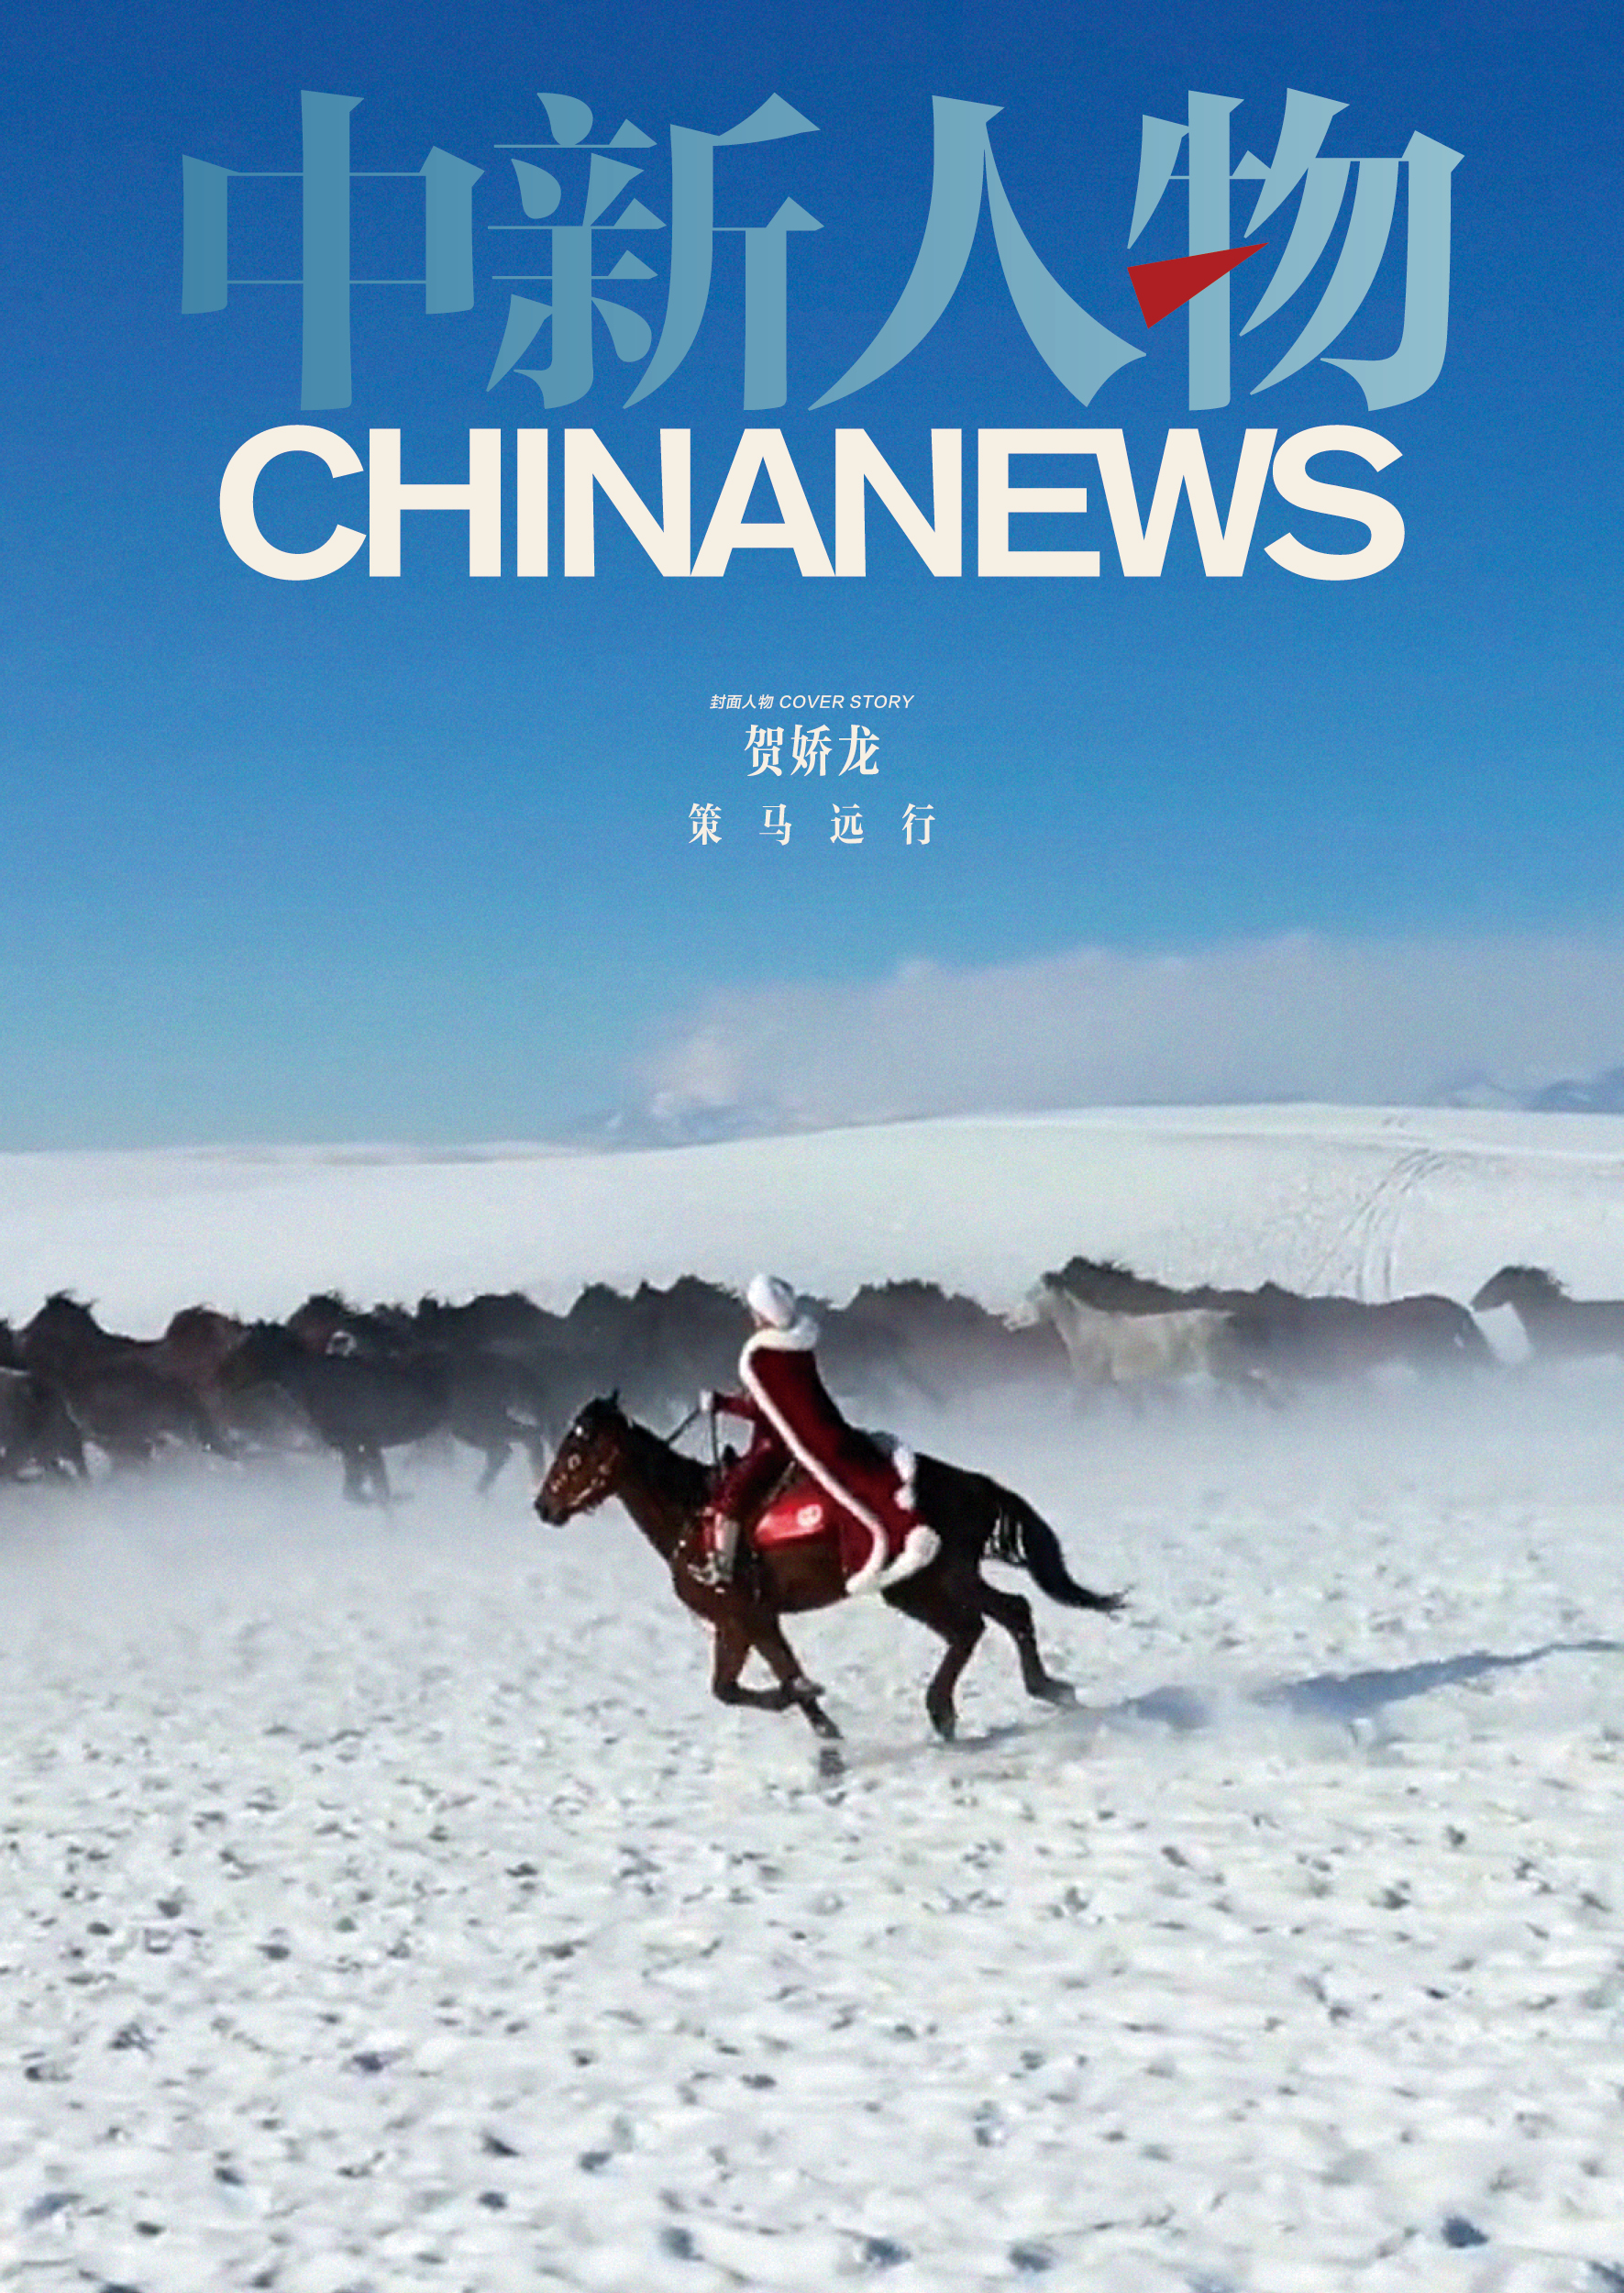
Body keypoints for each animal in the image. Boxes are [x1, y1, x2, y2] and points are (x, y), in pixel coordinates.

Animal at [535, 1393, 1123, 1762]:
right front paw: (820, 1723)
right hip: (937, 1580)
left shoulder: (749, 1618)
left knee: (973, 1627)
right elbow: (734, 1687)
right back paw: (1044, 1689)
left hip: (923, 1582)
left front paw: (823, 1725)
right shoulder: (741, 1624)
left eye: (577, 1450)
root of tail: (970, 1482)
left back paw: (946, 1709)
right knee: (1006, 1613)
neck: (694, 1517)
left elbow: (772, 1680)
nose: (544, 1506)